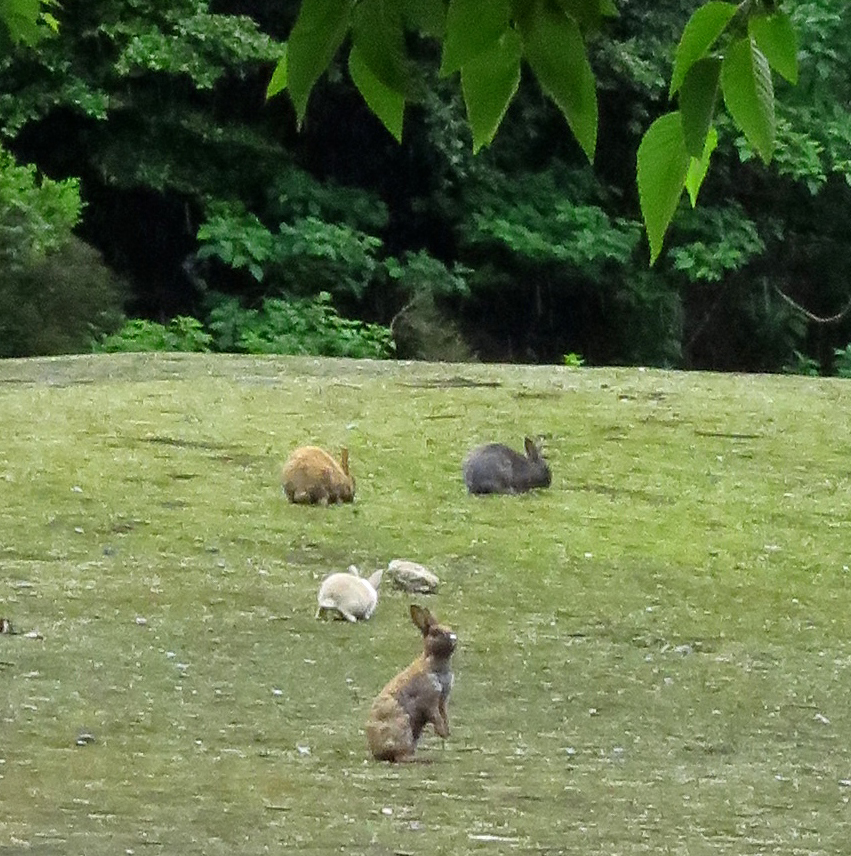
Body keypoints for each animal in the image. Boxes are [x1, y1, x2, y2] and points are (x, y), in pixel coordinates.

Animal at [365, 604, 457, 762]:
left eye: (450, 628)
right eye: (436, 632)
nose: (454, 639)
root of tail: (376, 752)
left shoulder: (443, 700)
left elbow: (444, 714)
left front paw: (447, 732)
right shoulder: (429, 700)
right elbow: (435, 715)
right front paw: (442, 733)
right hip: (403, 725)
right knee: (401, 756)